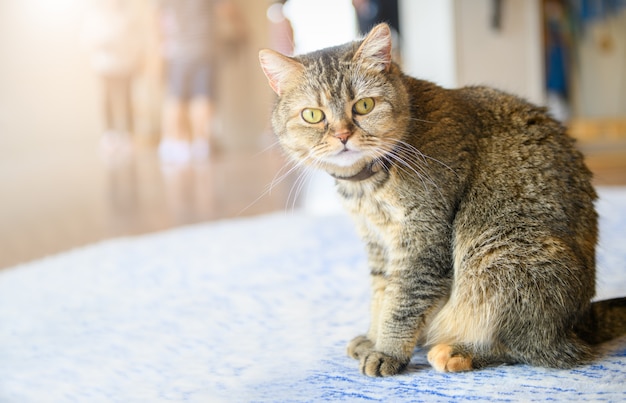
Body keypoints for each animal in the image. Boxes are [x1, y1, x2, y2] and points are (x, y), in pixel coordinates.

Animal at [256, 22, 620, 378]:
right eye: (313, 115)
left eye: (364, 106)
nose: (343, 135)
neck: (367, 189)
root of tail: (581, 320)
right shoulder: (377, 243)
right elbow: (382, 295)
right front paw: (373, 336)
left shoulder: (423, 241)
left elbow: (402, 301)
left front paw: (387, 350)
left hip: (499, 256)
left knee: (536, 349)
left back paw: (460, 352)